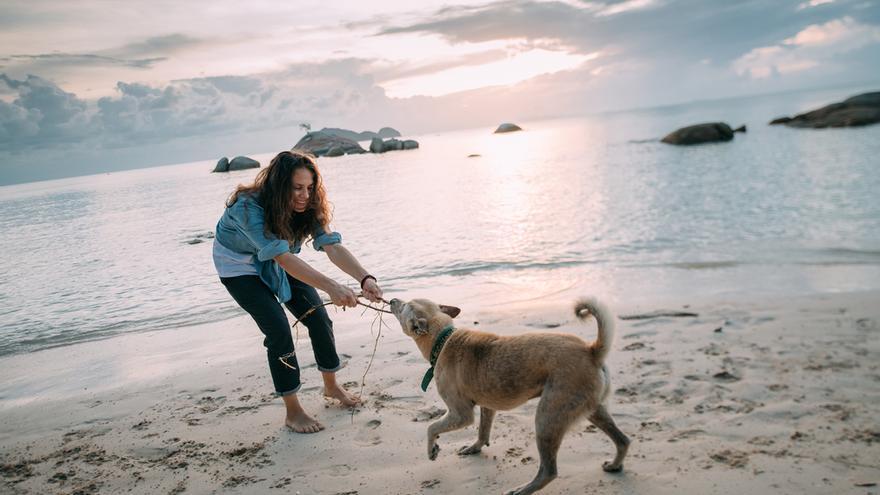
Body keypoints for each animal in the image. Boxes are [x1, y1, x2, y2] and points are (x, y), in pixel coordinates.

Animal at [388, 298, 628, 495]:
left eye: (403, 306)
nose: (391, 299)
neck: (443, 338)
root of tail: (592, 350)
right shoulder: (487, 406)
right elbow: (483, 432)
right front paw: (474, 448)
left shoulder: (460, 415)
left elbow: (432, 427)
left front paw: (432, 450)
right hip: (592, 409)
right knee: (623, 440)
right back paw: (615, 465)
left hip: (547, 418)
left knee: (548, 471)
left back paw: (522, 490)